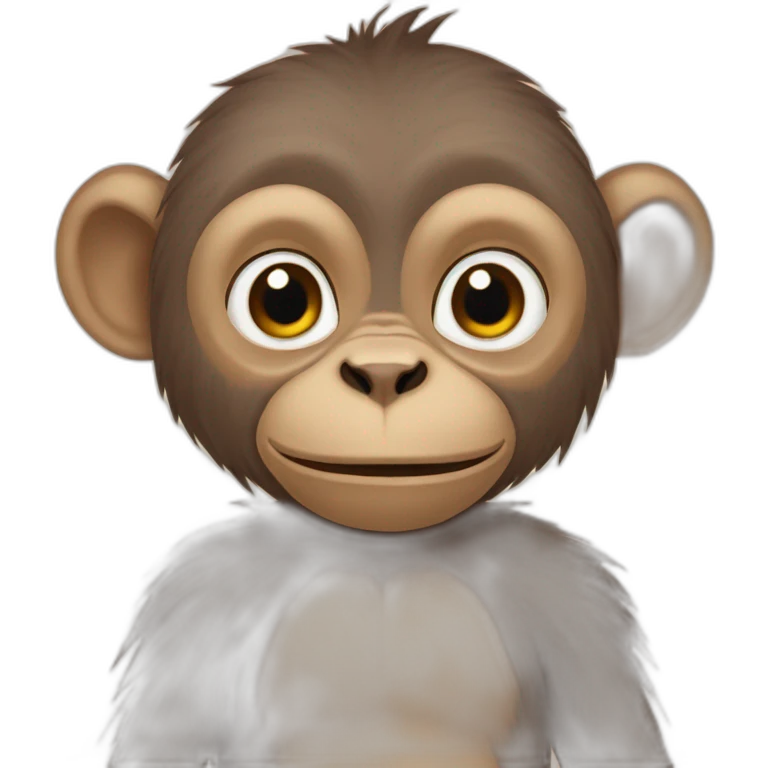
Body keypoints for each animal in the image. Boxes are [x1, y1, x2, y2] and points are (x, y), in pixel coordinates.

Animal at [53, 5, 714, 768]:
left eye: (488, 298)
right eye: (282, 297)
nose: (384, 373)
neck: (388, 547)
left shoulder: (567, 593)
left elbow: (612, 737)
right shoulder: (202, 595)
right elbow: (167, 733)